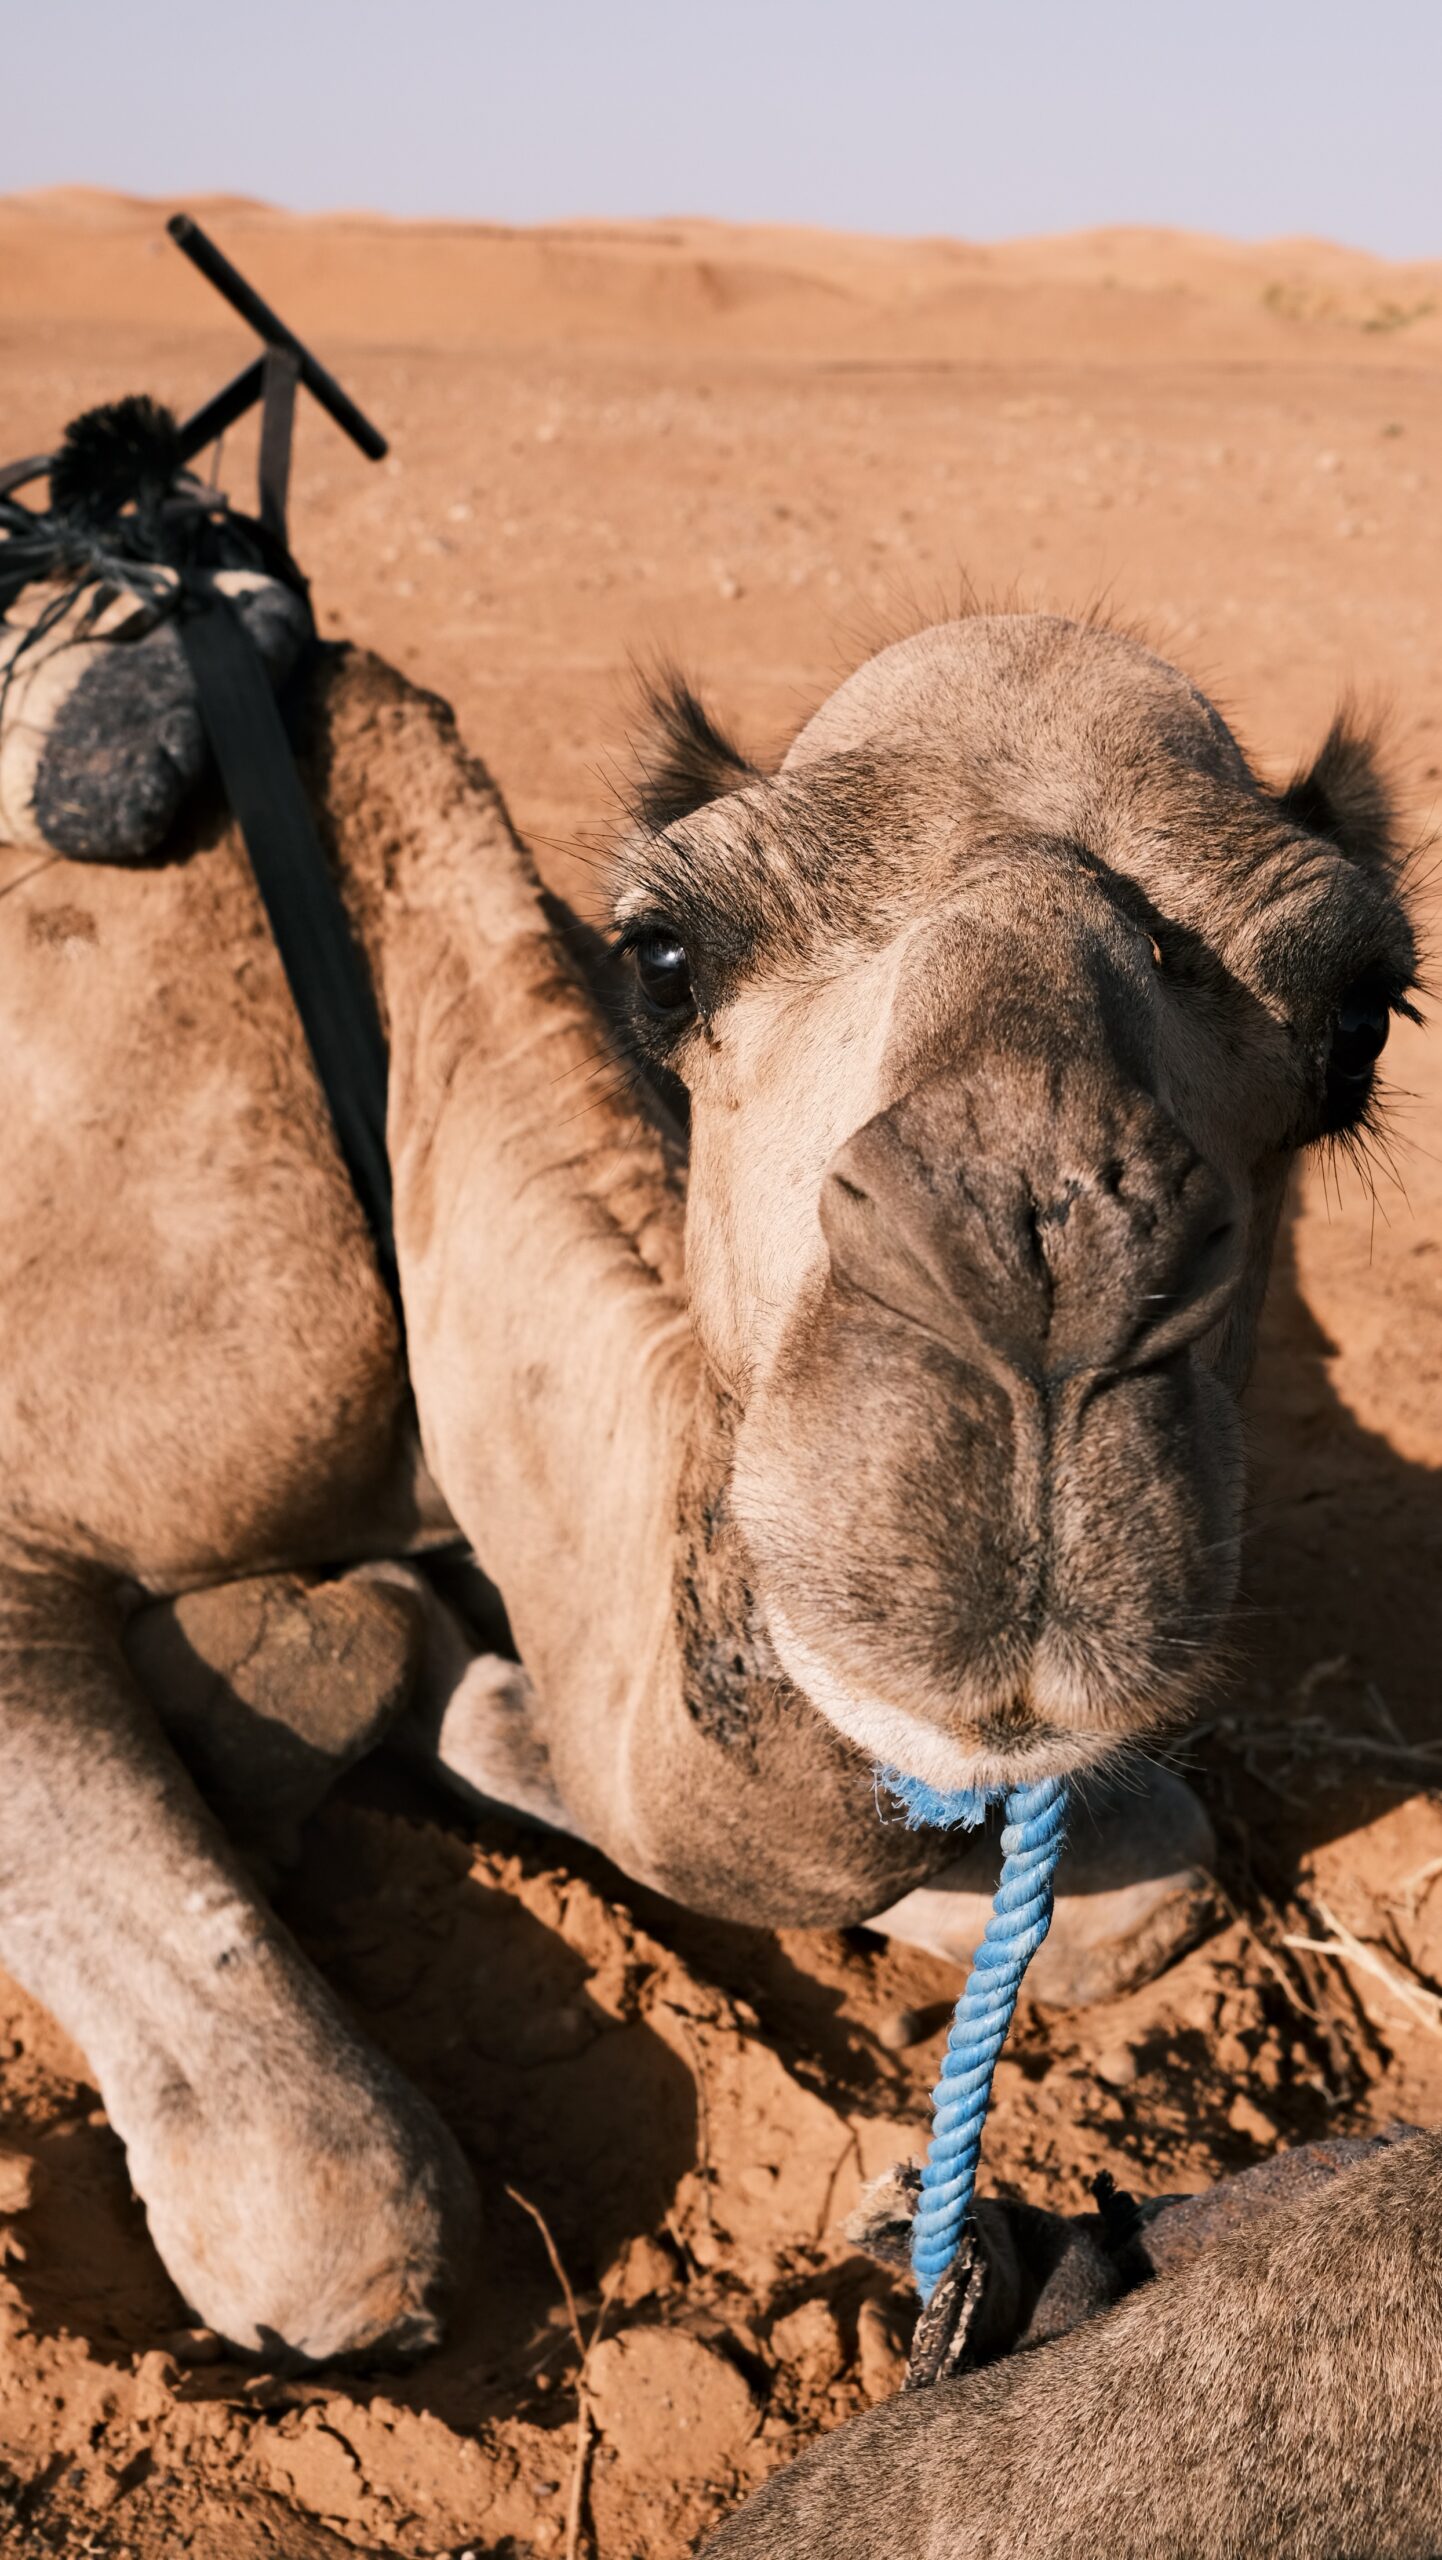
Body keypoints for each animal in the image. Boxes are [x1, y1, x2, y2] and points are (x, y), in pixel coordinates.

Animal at [0, 609, 1417, 2377]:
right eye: (663, 956)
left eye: (1360, 1020)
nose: (1037, 1290)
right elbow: (336, 2221)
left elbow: (1144, 1886)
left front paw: (421, 1689)